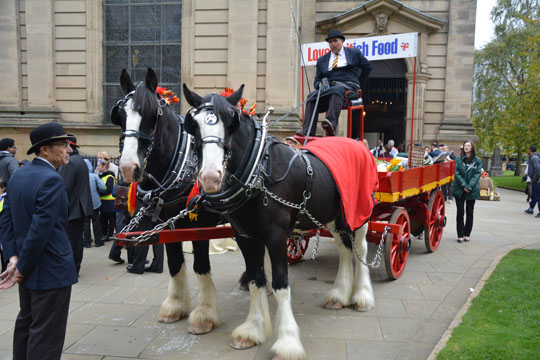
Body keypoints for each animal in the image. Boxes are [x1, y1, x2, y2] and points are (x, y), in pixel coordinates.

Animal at [110, 68, 223, 334]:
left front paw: (204, 315)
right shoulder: (168, 223)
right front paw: (175, 306)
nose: (128, 168)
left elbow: (200, 265)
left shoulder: (200, 225)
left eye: (152, 115)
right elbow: (174, 262)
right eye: (120, 114)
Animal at [181, 85, 376, 360]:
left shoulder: (276, 237)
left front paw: (287, 342)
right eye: (194, 124)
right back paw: (339, 294)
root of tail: (358, 143)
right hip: (334, 216)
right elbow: (255, 280)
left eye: (231, 122)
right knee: (344, 248)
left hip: (360, 210)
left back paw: (362, 297)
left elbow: (281, 285)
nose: (210, 177)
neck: (258, 171)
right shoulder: (246, 237)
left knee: (361, 247)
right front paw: (252, 330)